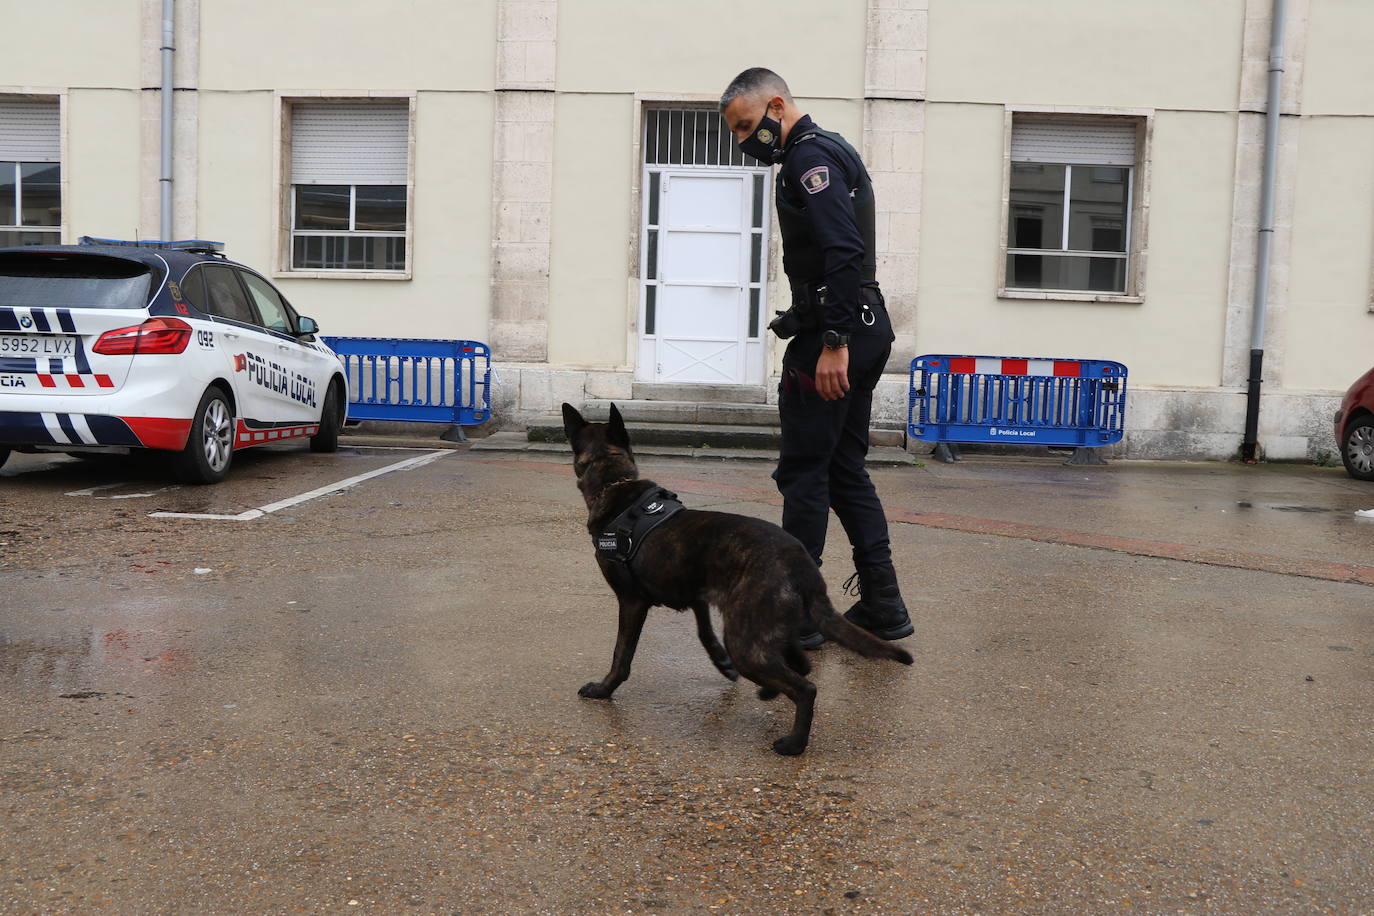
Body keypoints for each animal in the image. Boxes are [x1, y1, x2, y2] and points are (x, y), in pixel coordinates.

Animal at [560, 403, 912, 758]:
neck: (614, 483)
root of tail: (800, 562)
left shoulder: (632, 601)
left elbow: (622, 654)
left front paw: (604, 688)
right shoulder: (697, 594)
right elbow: (704, 632)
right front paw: (721, 662)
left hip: (746, 641)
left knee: (806, 687)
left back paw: (794, 742)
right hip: (762, 628)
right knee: (799, 663)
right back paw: (770, 692)